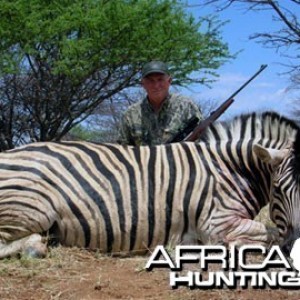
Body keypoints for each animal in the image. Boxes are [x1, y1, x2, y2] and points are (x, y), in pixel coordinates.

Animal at [0, 110, 298, 258]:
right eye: (278, 189)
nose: (295, 246)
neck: (229, 169)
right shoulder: (216, 225)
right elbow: (270, 234)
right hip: (30, 209)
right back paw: (35, 248)